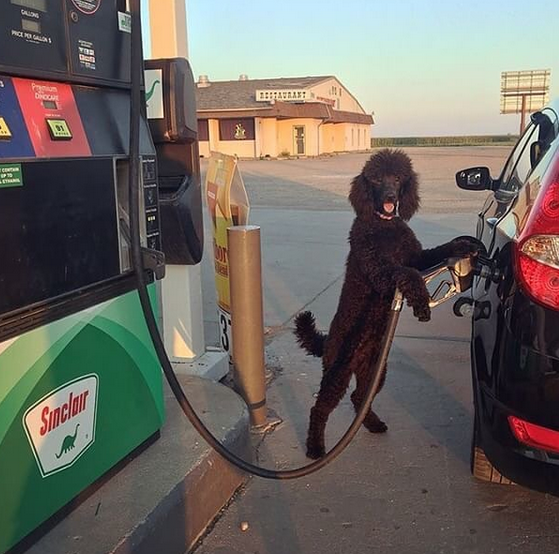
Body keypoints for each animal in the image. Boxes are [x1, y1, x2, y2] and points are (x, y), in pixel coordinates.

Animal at [296, 147, 480, 458]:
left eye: (397, 178)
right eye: (376, 179)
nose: (391, 197)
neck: (385, 227)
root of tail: (327, 340)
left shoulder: (417, 257)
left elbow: (435, 252)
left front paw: (463, 245)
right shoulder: (381, 270)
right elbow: (405, 273)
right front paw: (421, 304)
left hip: (375, 370)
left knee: (359, 397)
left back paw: (372, 423)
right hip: (338, 371)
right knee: (319, 408)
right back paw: (315, 447)